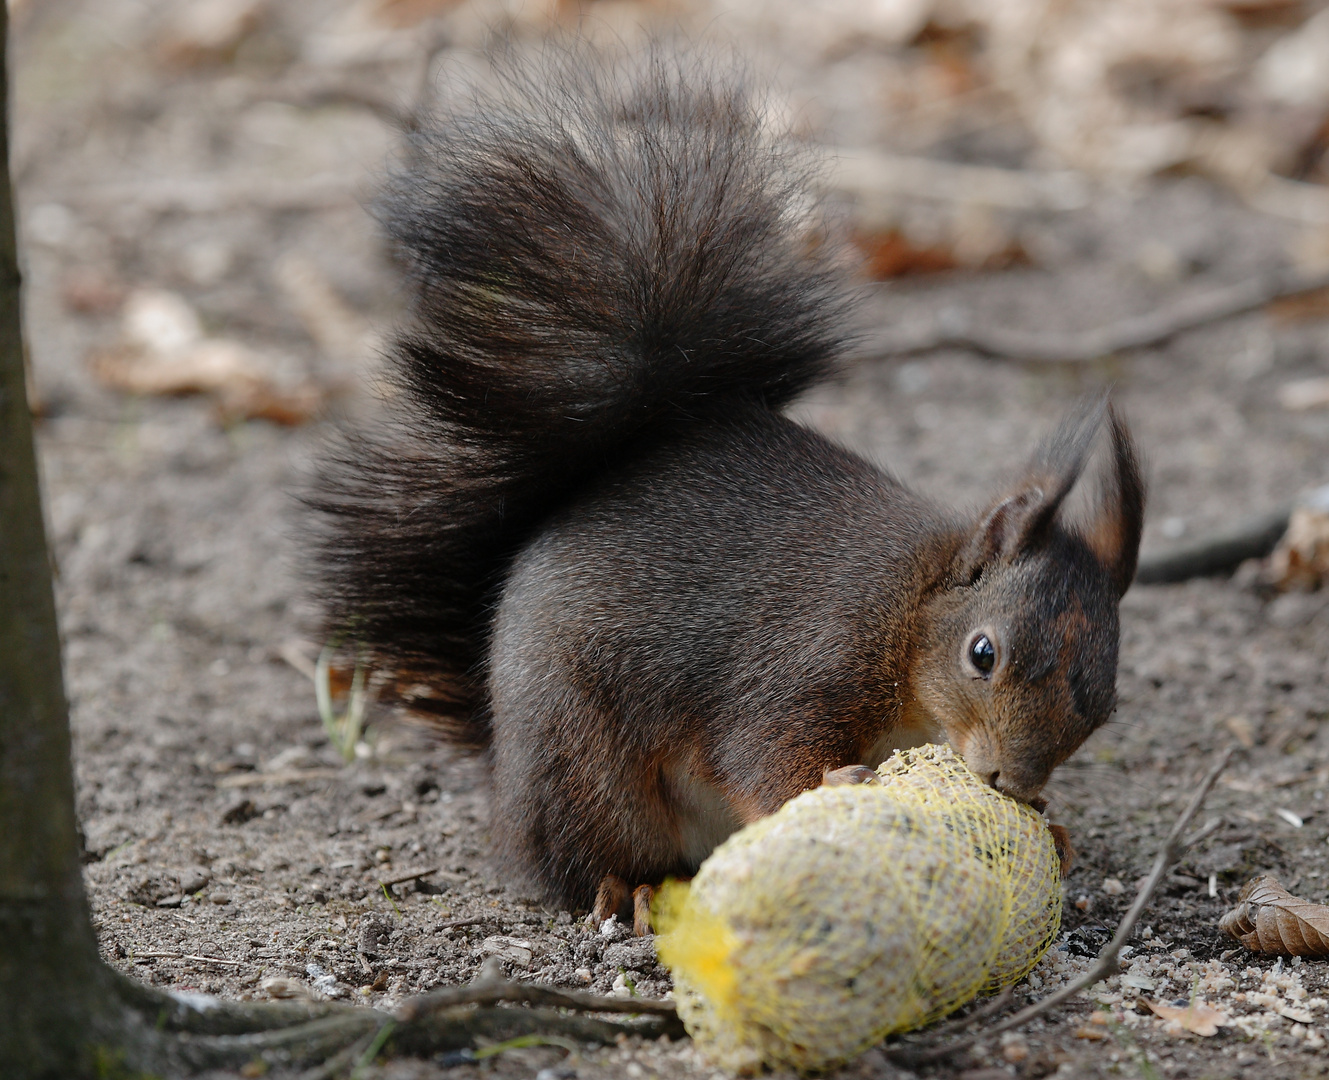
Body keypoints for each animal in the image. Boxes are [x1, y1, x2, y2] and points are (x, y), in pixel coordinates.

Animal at [308, 46, 1142, 929]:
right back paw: (630, 890)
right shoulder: (806, 657)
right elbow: (760, 753)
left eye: (1103, 704)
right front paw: (829, 784)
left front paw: (1053, 828)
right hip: (585, 769)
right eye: (982, 653)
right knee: (579, 862)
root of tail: (502, 770)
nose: (1009, 783)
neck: (909, 610)